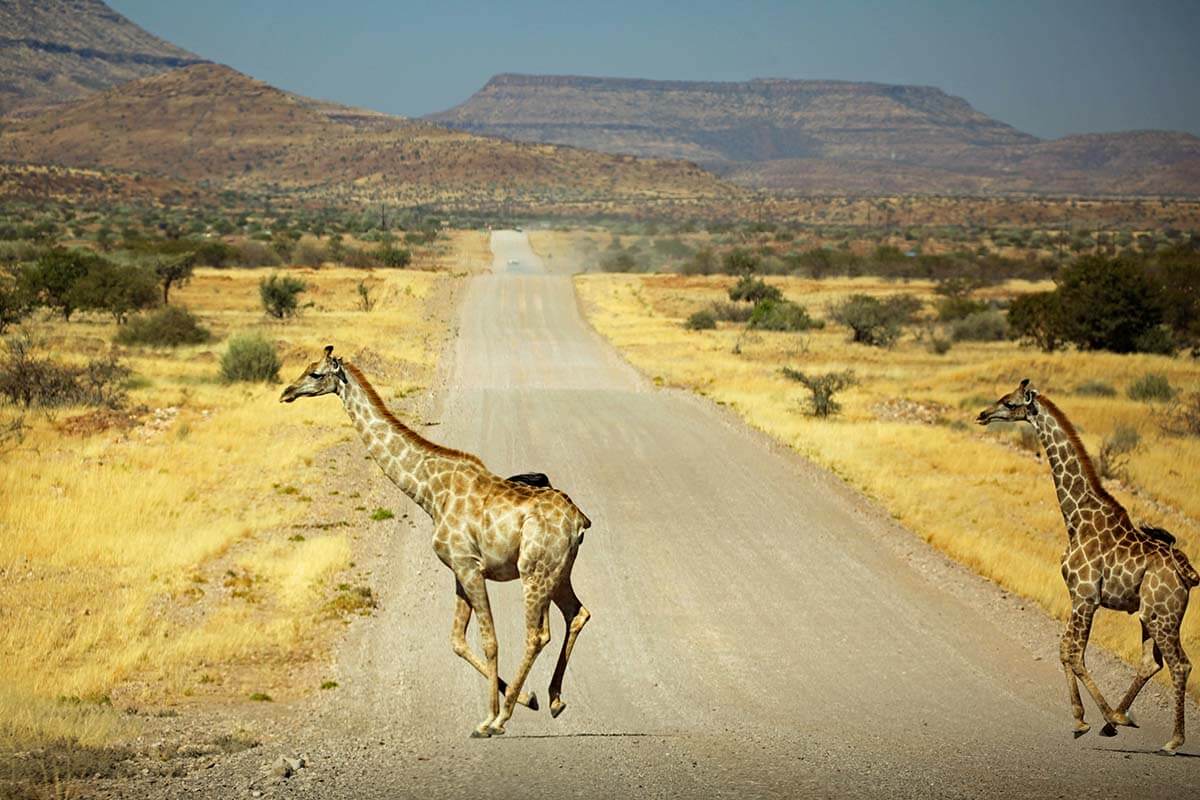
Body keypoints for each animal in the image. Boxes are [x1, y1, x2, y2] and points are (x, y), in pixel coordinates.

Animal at [280, 346, 593, 738]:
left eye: (317, 374)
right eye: (307, 368)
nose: (287, 392)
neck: (429, 491)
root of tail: (579, 520)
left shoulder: (468, 566)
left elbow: (489, 640)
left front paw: (489, 719)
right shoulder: (459, 571)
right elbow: (457, 641)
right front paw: (527, 699)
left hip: (534, 571)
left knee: (536, 634)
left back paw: (505, 716)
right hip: (559, 572)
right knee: (577, 613)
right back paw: (553, 700)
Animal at [978, 379, 1199, 754]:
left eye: (1009, 403)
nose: (982, 414)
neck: (1076, 517)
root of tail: (1188, 575)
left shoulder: (1084, 597)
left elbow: (1073, 653)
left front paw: (1091, 719)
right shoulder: (1079, 598)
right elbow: (1065, 650)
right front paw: (1087, 720)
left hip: (1164, 616)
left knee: (1180, 664)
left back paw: (1171, 740)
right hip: (1149, 615)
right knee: (1150, 662)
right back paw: (1117, 723)